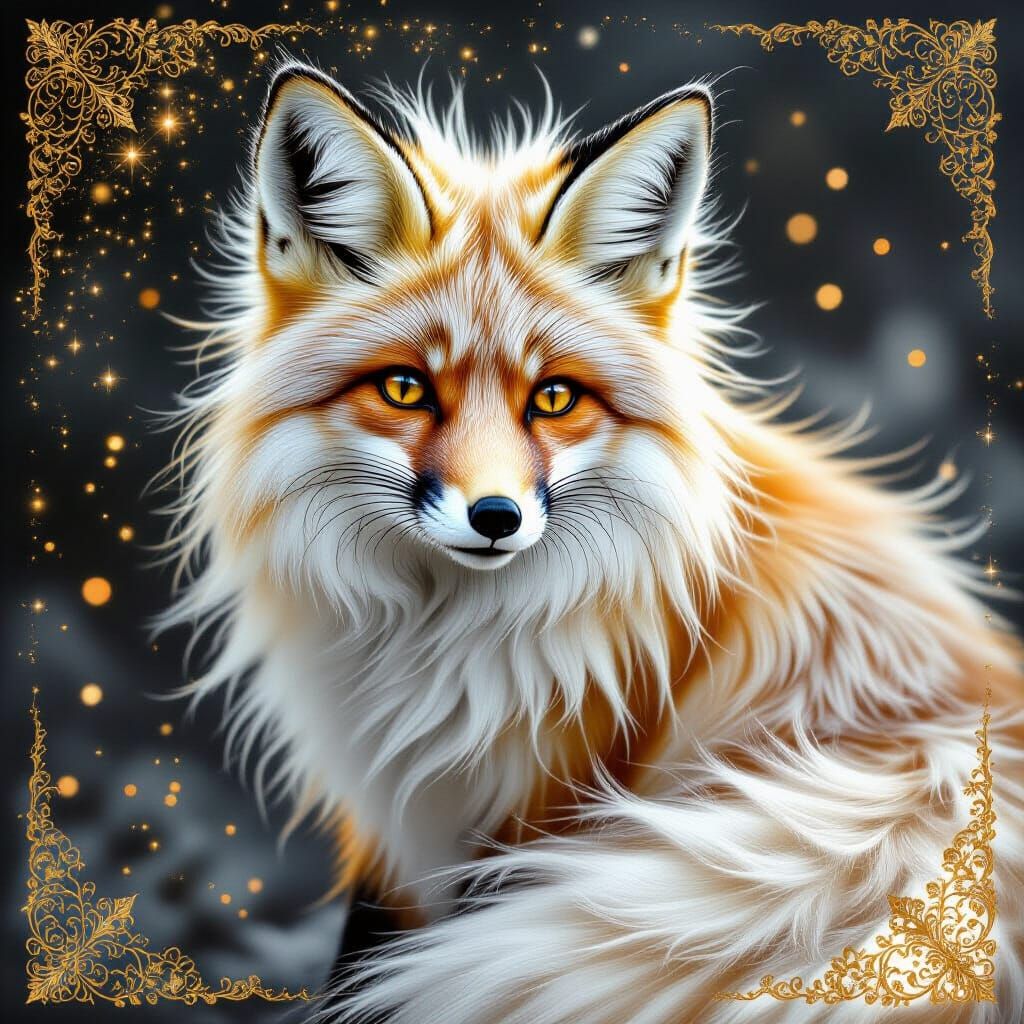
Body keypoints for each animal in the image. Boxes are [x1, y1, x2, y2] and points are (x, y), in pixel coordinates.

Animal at [161, 63, 1024, 1022]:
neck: (443, 649)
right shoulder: (399, 829)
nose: (496, 516)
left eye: (555, 399)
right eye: (406, 388)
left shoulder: (539, 805)